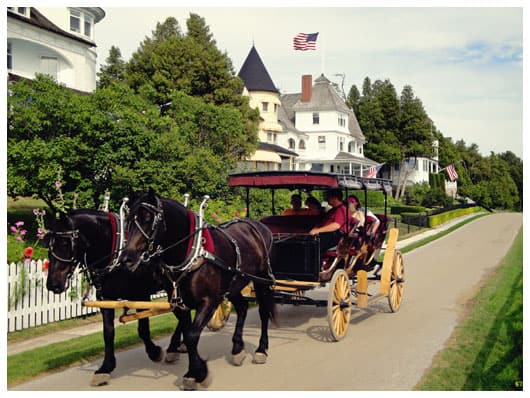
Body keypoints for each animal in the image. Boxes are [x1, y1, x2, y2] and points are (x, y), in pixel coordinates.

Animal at [45, 208, 186, 386]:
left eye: (64, 243)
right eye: (47, 244)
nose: (53, 284)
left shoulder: (140, 294)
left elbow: (143, 330)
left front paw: (154, 352)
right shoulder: (106, 299)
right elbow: (108, 333)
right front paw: (105, 368)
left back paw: (174, 347)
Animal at [119, 191, 276, 390]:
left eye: (148, 219)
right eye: (128, 220)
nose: (126, 259)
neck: (192, 252)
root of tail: (258, 226)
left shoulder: (209, 301)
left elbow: (192, 335)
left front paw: (199, 373)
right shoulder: (180, 303)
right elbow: (188, 334)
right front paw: (193, 371)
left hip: (261, 279)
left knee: (263, 312)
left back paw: (261, 349)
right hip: (233, 284)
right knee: (241, 308)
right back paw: (237, 348)